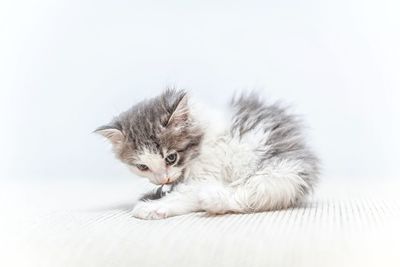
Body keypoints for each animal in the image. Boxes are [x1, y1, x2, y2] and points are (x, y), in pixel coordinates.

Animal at [96, 89, 318, 220]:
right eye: (142, 167)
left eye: (171, 158)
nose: (164, 179)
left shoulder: (206, 173)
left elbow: (184, 193)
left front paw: (152, 207)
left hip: (282, 171)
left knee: (250, 195)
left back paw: (211, 199)